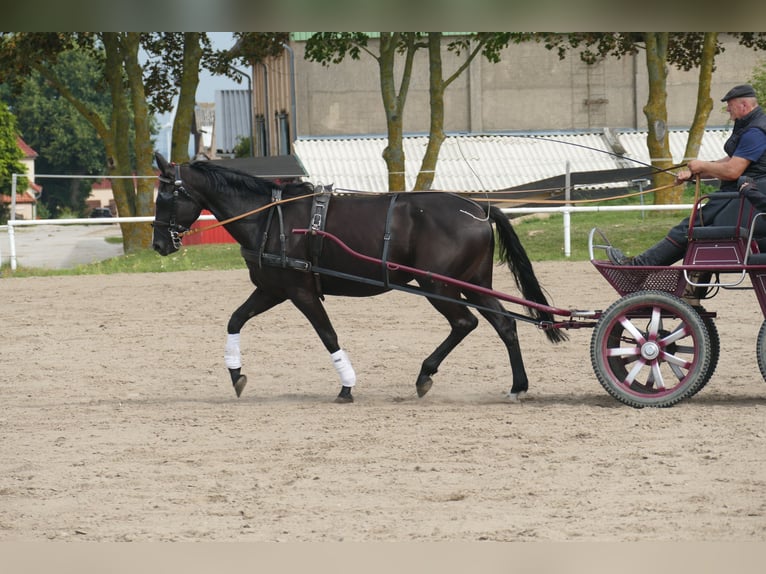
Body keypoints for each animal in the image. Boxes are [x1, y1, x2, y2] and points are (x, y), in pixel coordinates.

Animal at [151, 152, 567, 403]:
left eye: (165, 196)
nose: (158, 243)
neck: (270, 218)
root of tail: (478, 208)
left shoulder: (300, 291)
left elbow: (328, 336)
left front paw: (346, 385)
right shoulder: (272, 289)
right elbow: (235, 320)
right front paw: (236, 373)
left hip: (437, 285)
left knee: (465, 323)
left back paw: (426, 374)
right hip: (473, 283)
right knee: (504, 325)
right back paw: (517, 386)